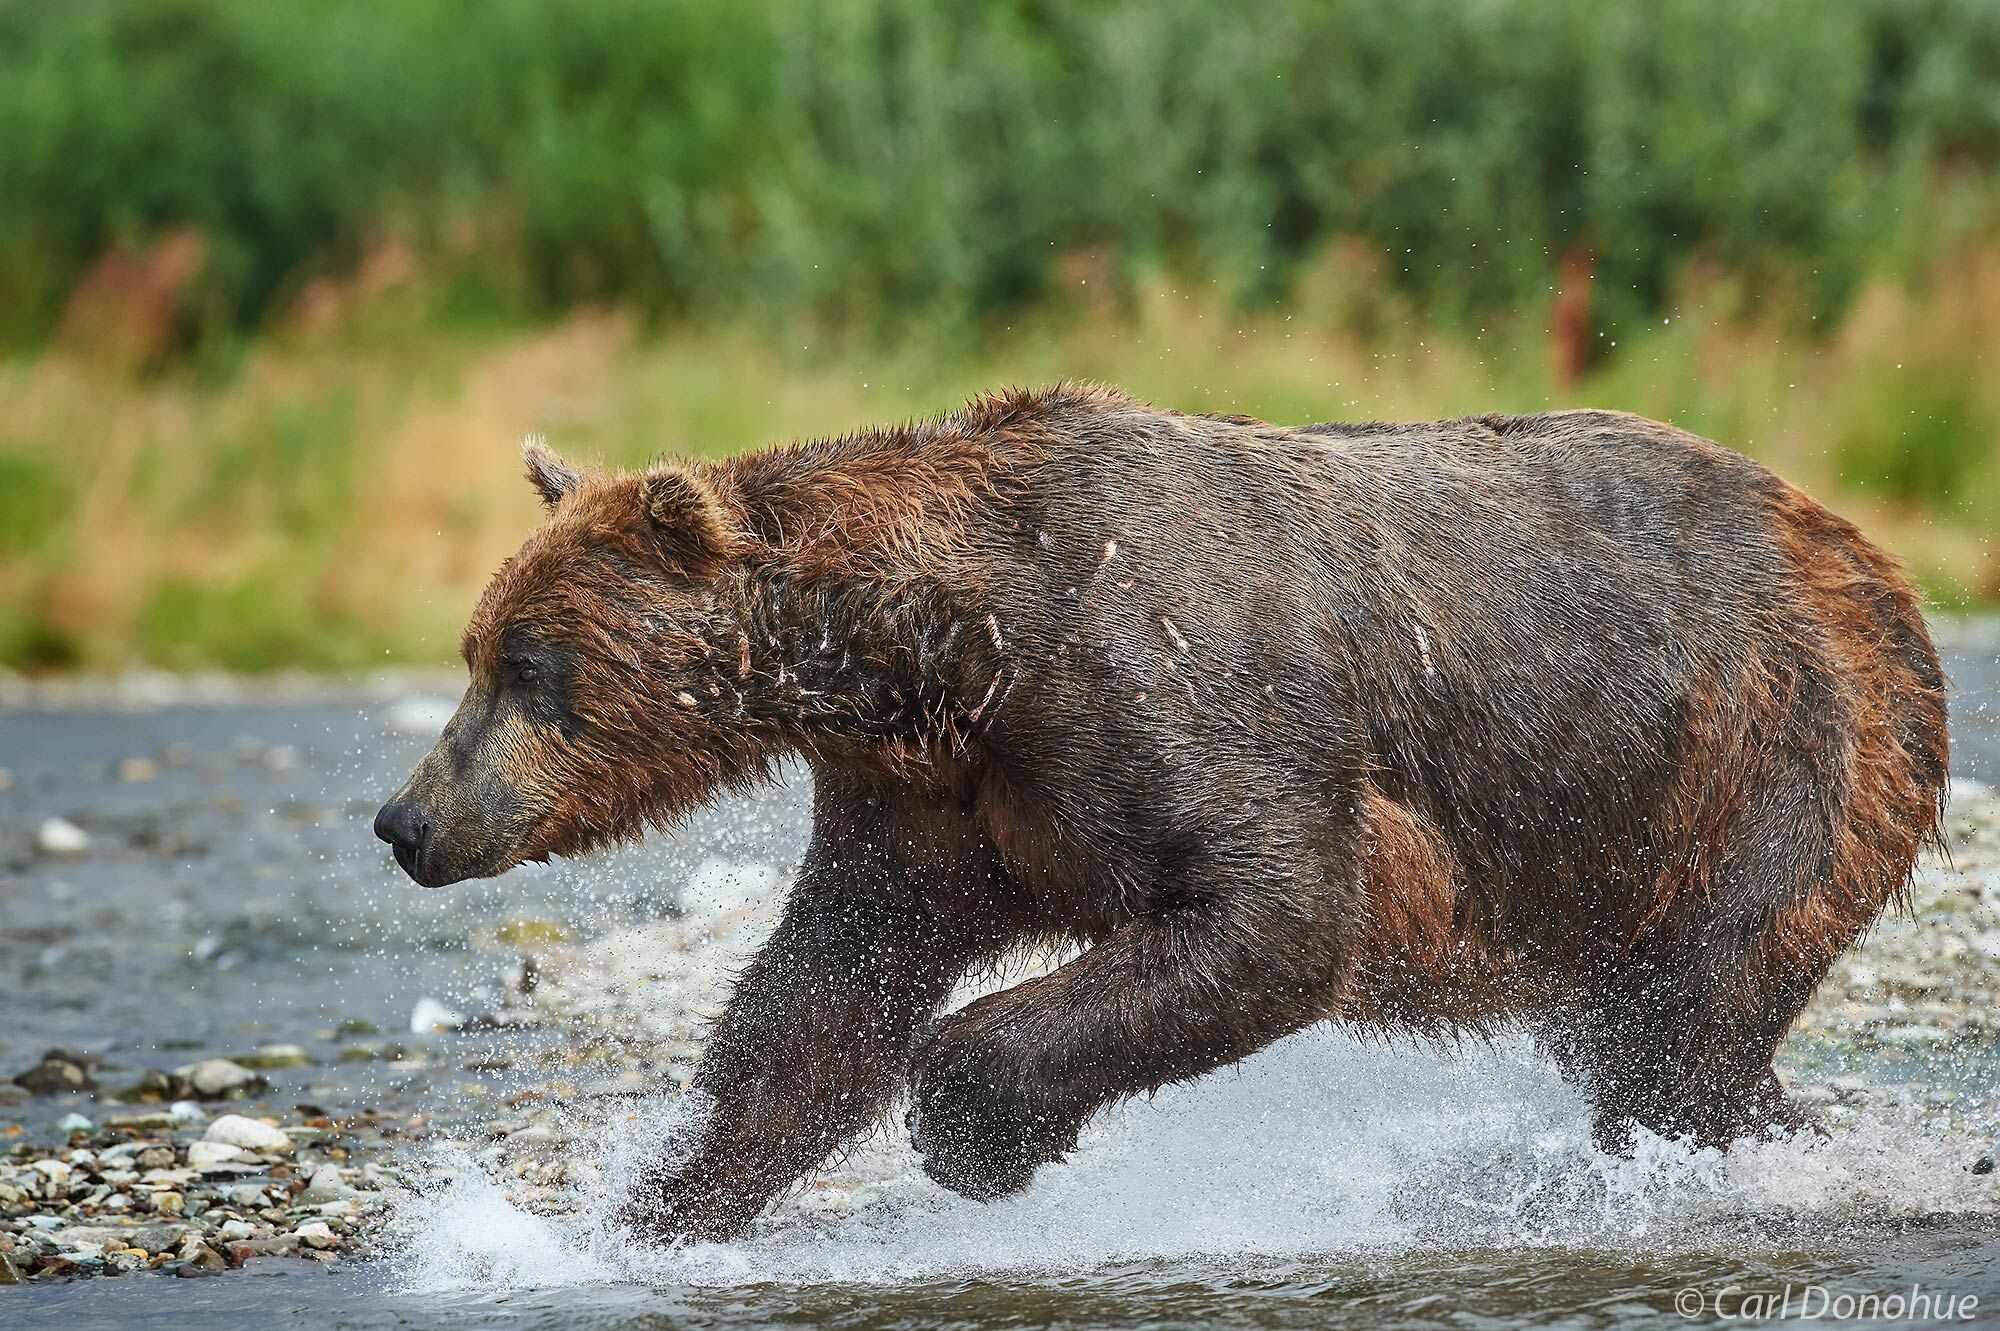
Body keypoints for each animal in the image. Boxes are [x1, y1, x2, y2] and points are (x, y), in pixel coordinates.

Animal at [378, 381, 1952, 1231]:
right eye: (474, 650)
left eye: (527, 663)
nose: (405, 819)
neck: (934, 652)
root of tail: (1863, 548)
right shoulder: (926, 806)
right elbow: (816, 1006)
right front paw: (644, 1210)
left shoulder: (1161, 686)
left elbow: (1274, 913)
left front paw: (973, 1125)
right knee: (1650, 1035)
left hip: (1779, 753)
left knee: (1680, 1030)